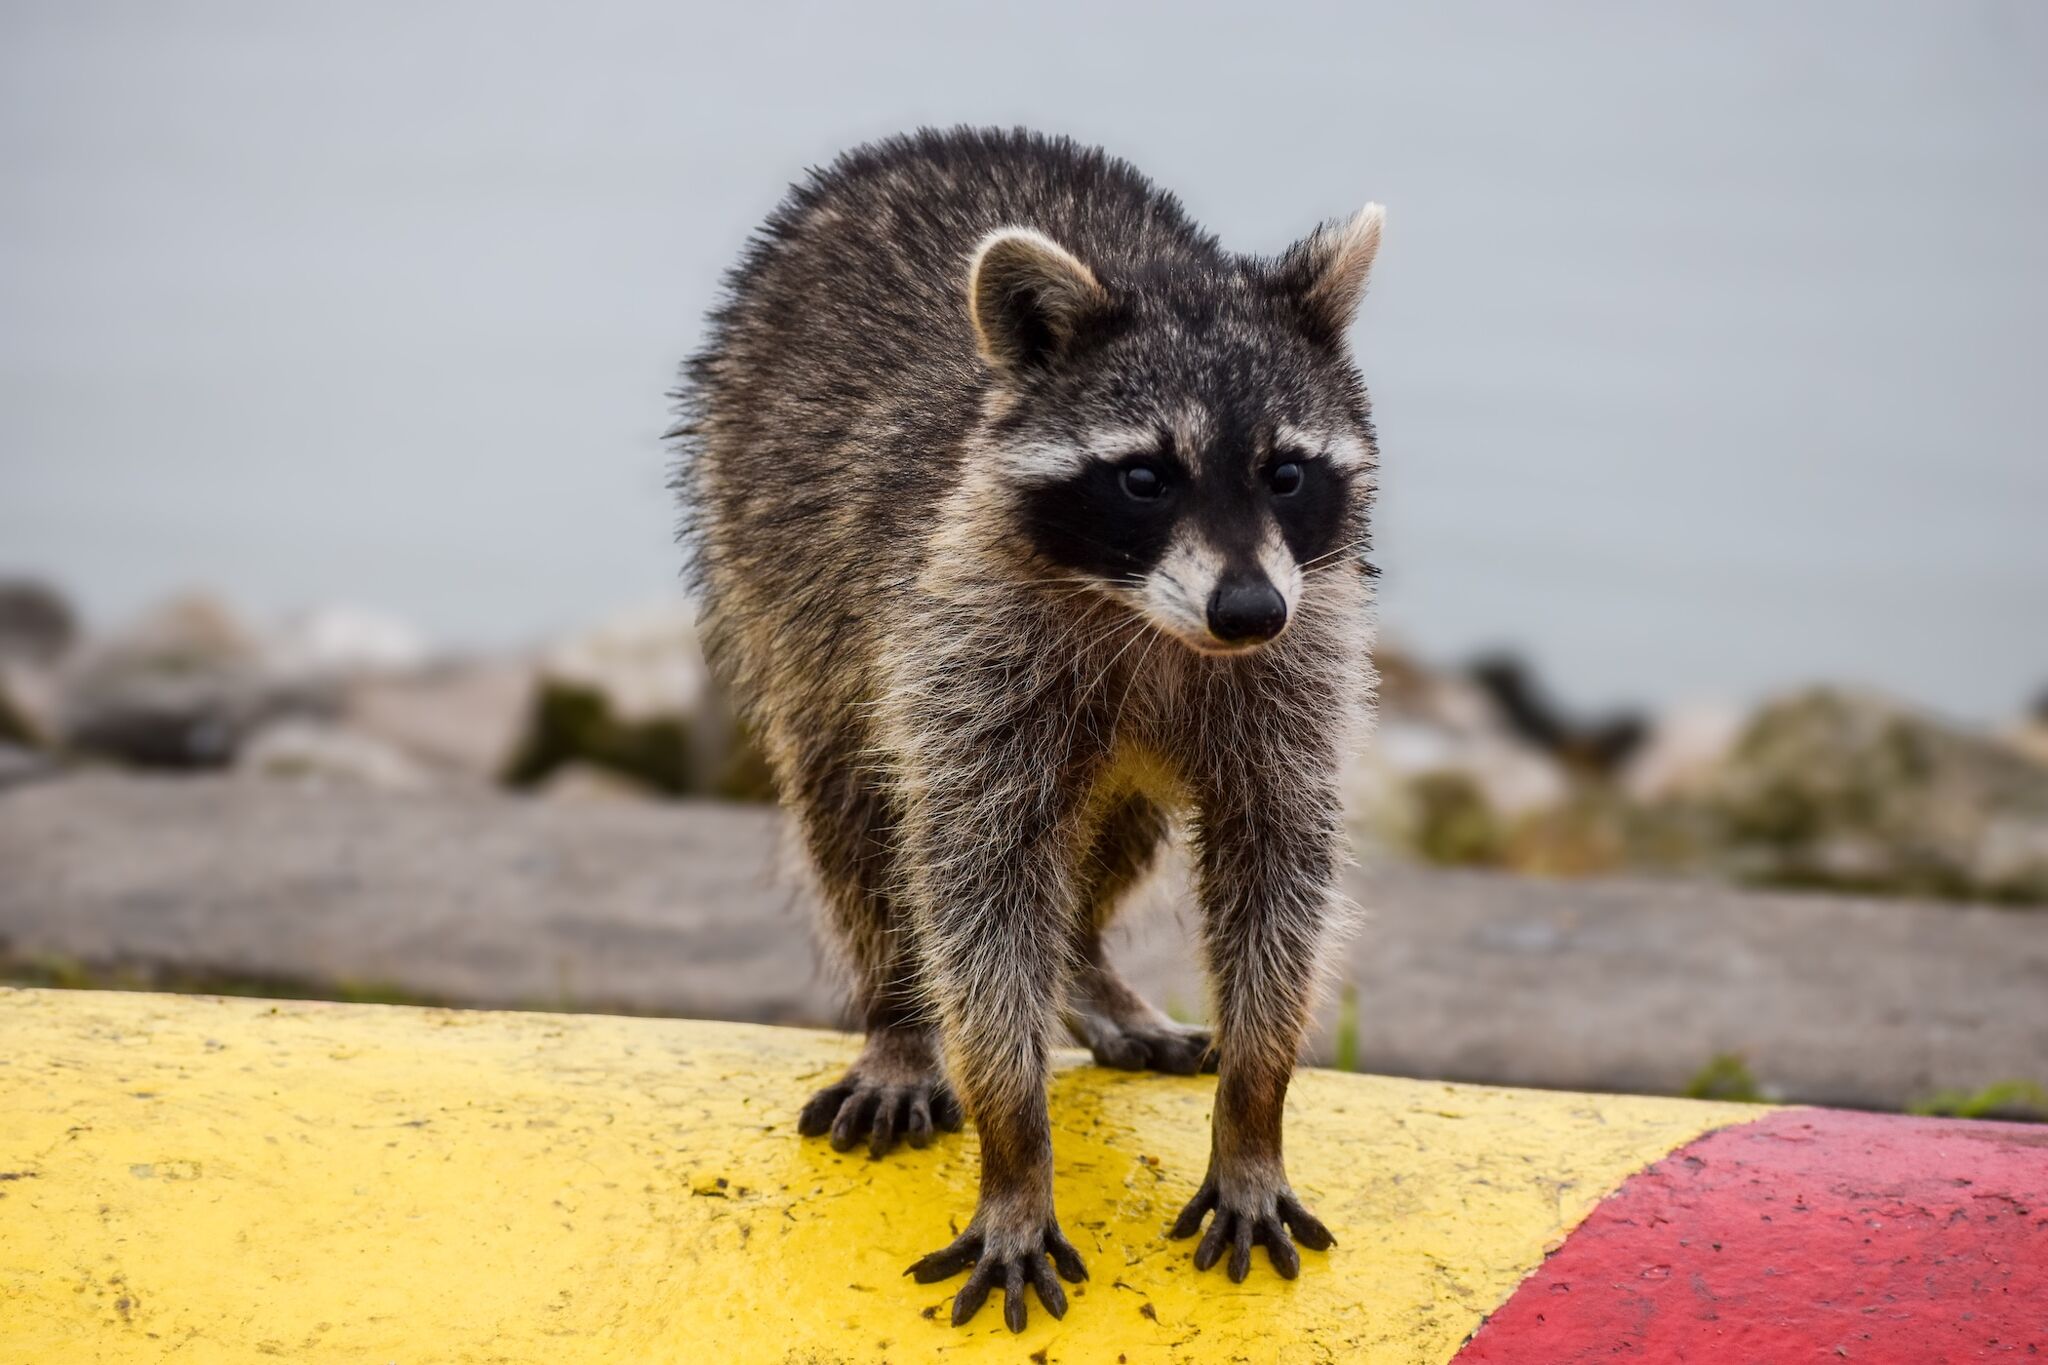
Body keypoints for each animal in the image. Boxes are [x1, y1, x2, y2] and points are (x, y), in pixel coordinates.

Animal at [673, 127, 1381, 1331]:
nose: (1247, 612)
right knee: (859, 816)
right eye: (1144, 477)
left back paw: (1087, 969)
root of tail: (934, 140)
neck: (1152, 621)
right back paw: (900, 1019)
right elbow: (977, 887)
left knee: (1116, 824)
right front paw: (1014, 1147)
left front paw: (1253, 1114)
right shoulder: (964, 642)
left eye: (1286, 472)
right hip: (768, 553)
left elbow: (1278, 869)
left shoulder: (1296, 668)